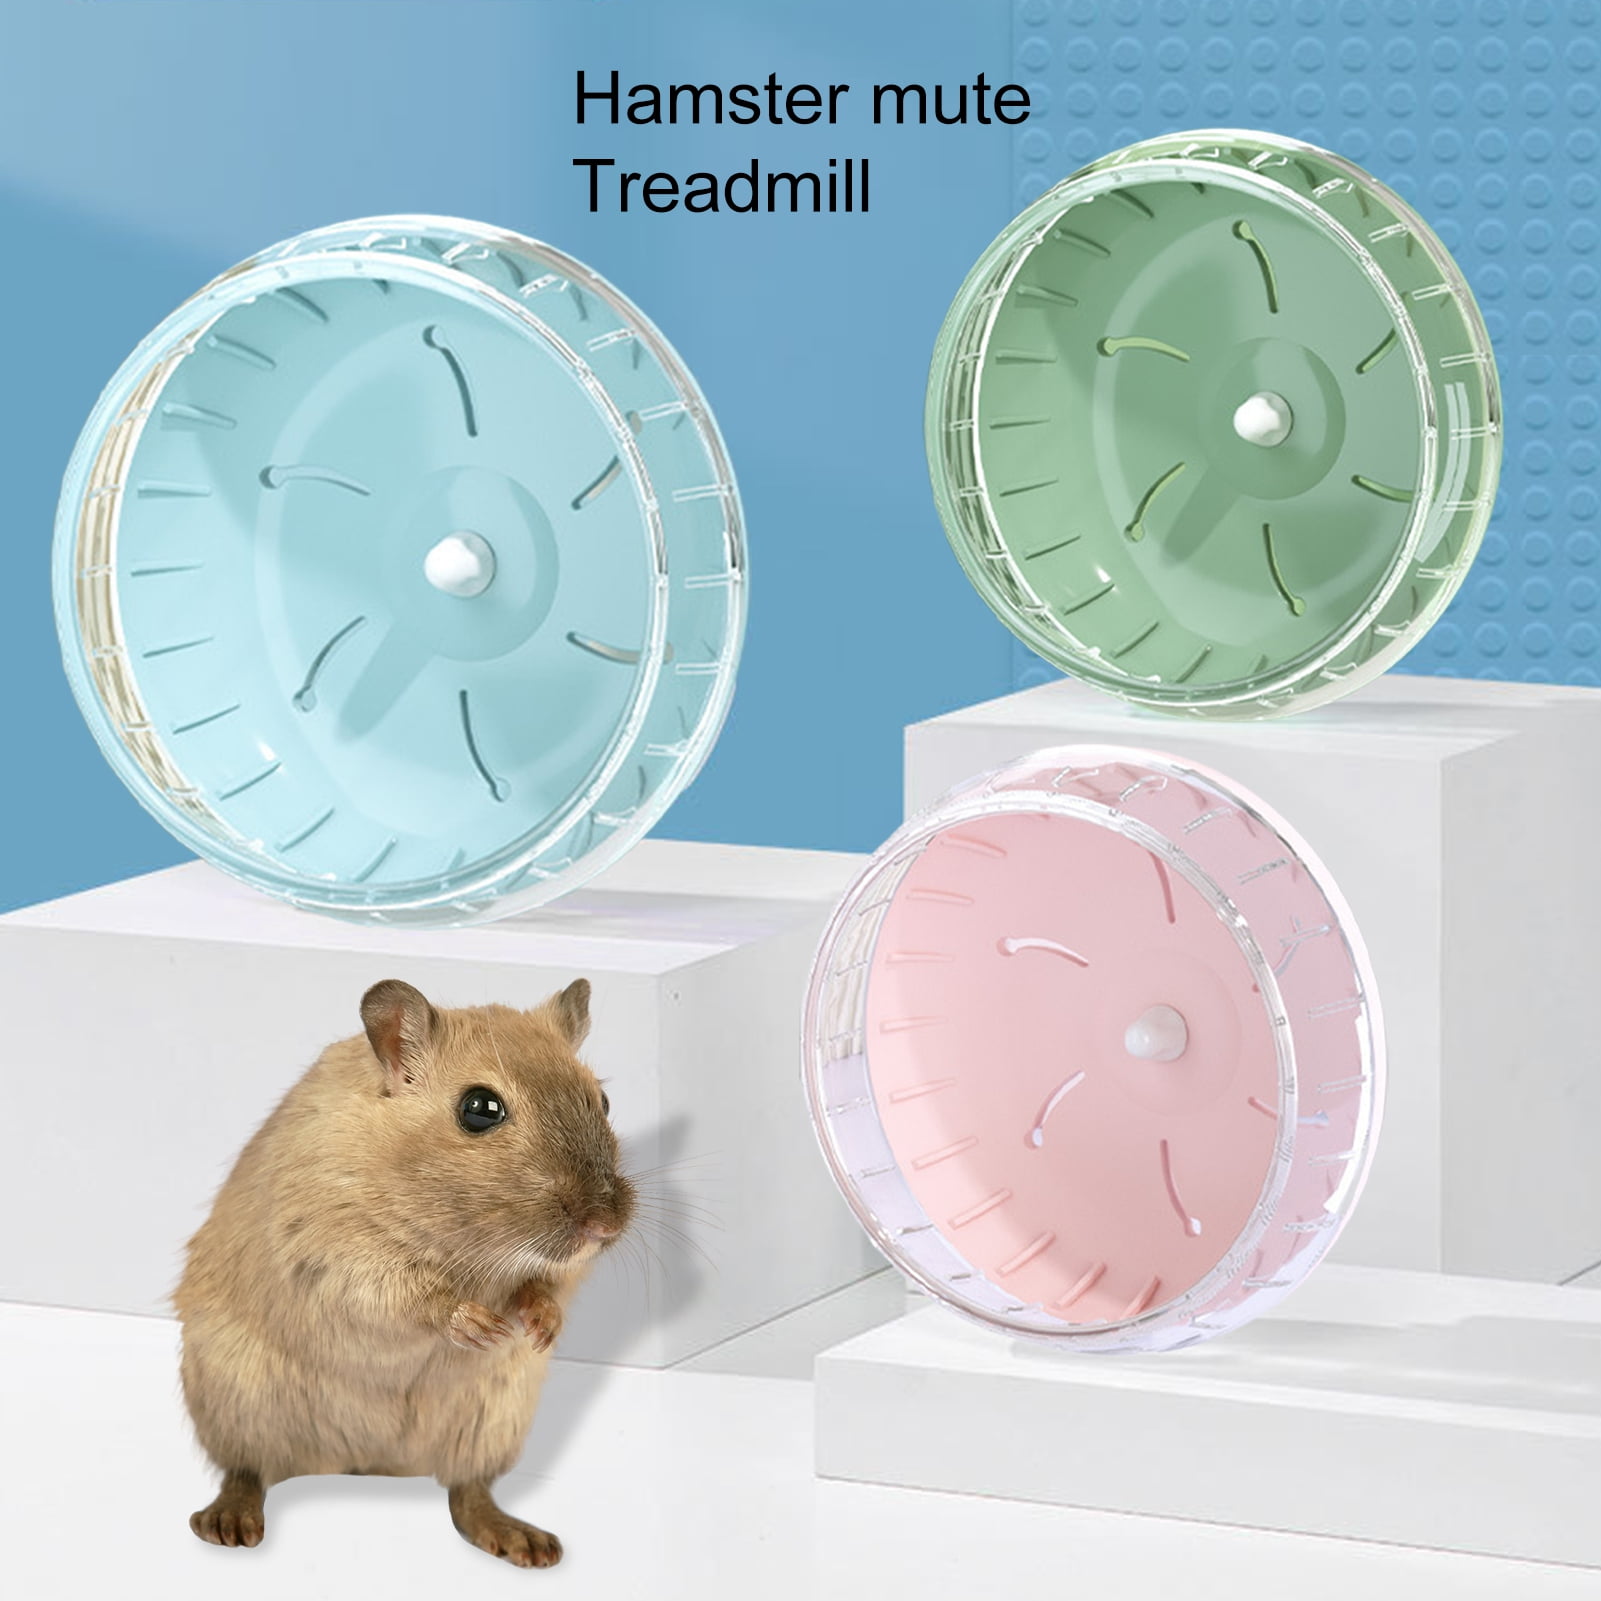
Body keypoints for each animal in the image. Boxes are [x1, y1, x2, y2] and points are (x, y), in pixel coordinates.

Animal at [174, 975, 634, 1568]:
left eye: (603, 1100)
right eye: (479, 1109)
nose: (604, 1225)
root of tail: (367, 1465)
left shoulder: (557, 1271)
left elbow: (546, 1286)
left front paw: (539, 1327)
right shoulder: (333, 1250)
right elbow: (409, 1298)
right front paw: (478, 1325)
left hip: (492, 1421)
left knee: (467, 1492)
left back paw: (524, 1542)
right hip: (235, 1402)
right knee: (246, 1470)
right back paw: (228, 1522)